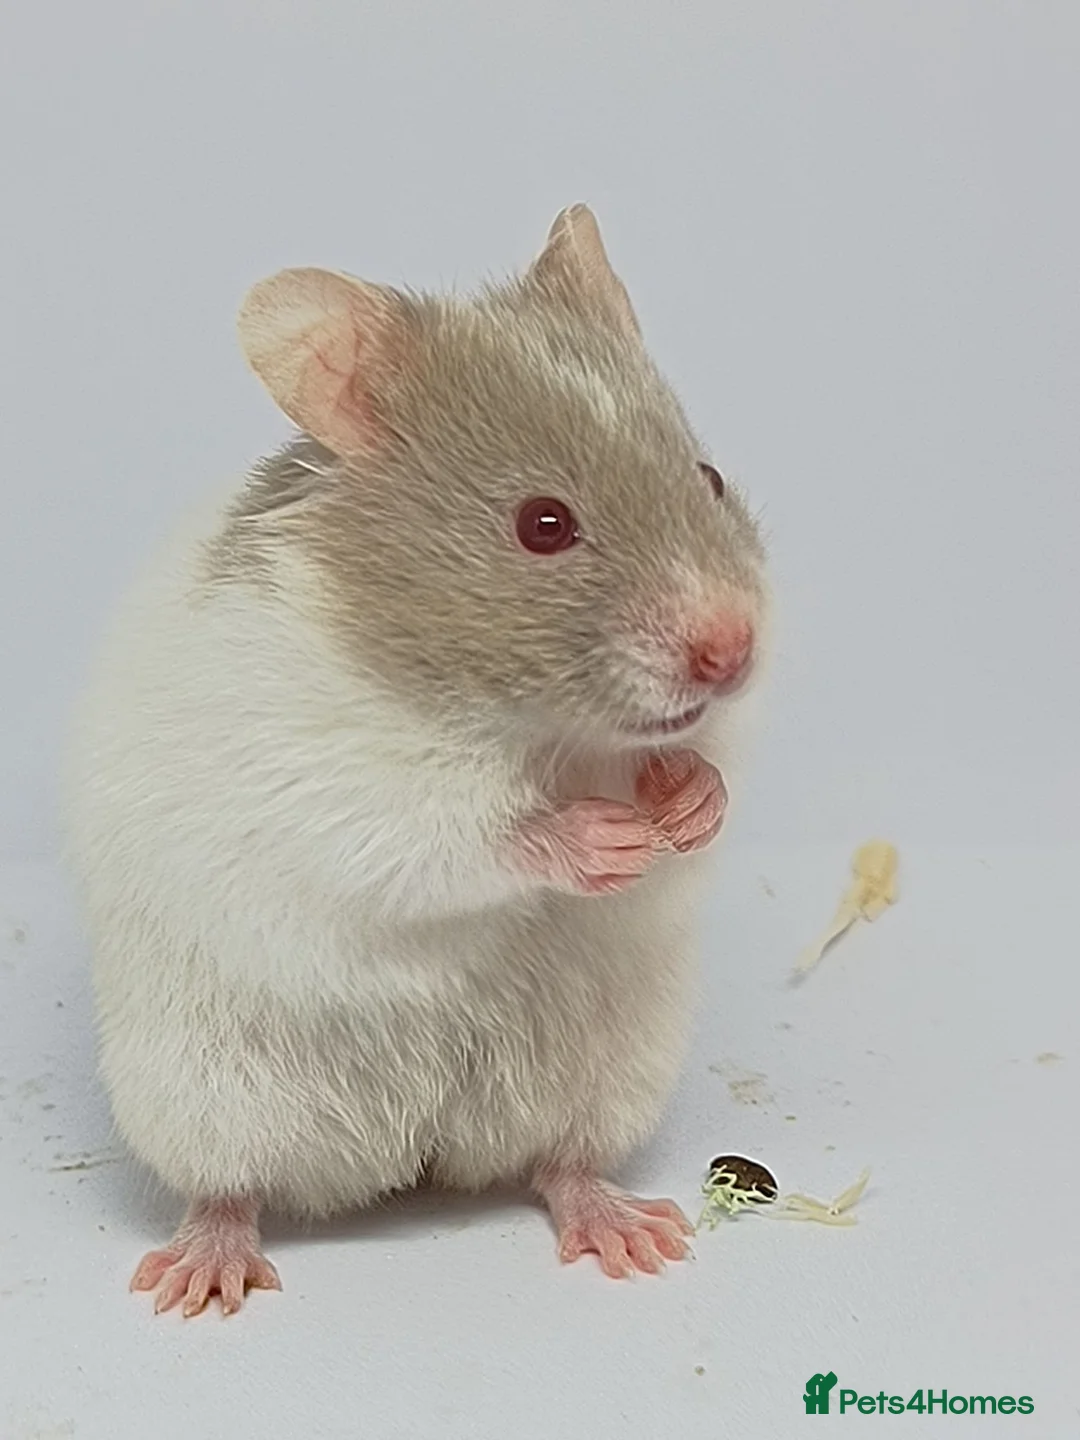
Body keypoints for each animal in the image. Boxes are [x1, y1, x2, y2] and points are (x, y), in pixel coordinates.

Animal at [64, 204, 769, 1318]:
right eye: (543, 525)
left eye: (708, 478)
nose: (734, 650)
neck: (531, 726)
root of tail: (410, 1158)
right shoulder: (338, 783)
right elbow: (463, 835)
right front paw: (605, 838)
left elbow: (705, 785)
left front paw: (686, 802)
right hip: (199, 1086)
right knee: (228, 1188)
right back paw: (198, 1277)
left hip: (606, 1071)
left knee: (561, 1162)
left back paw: (633, 1236)